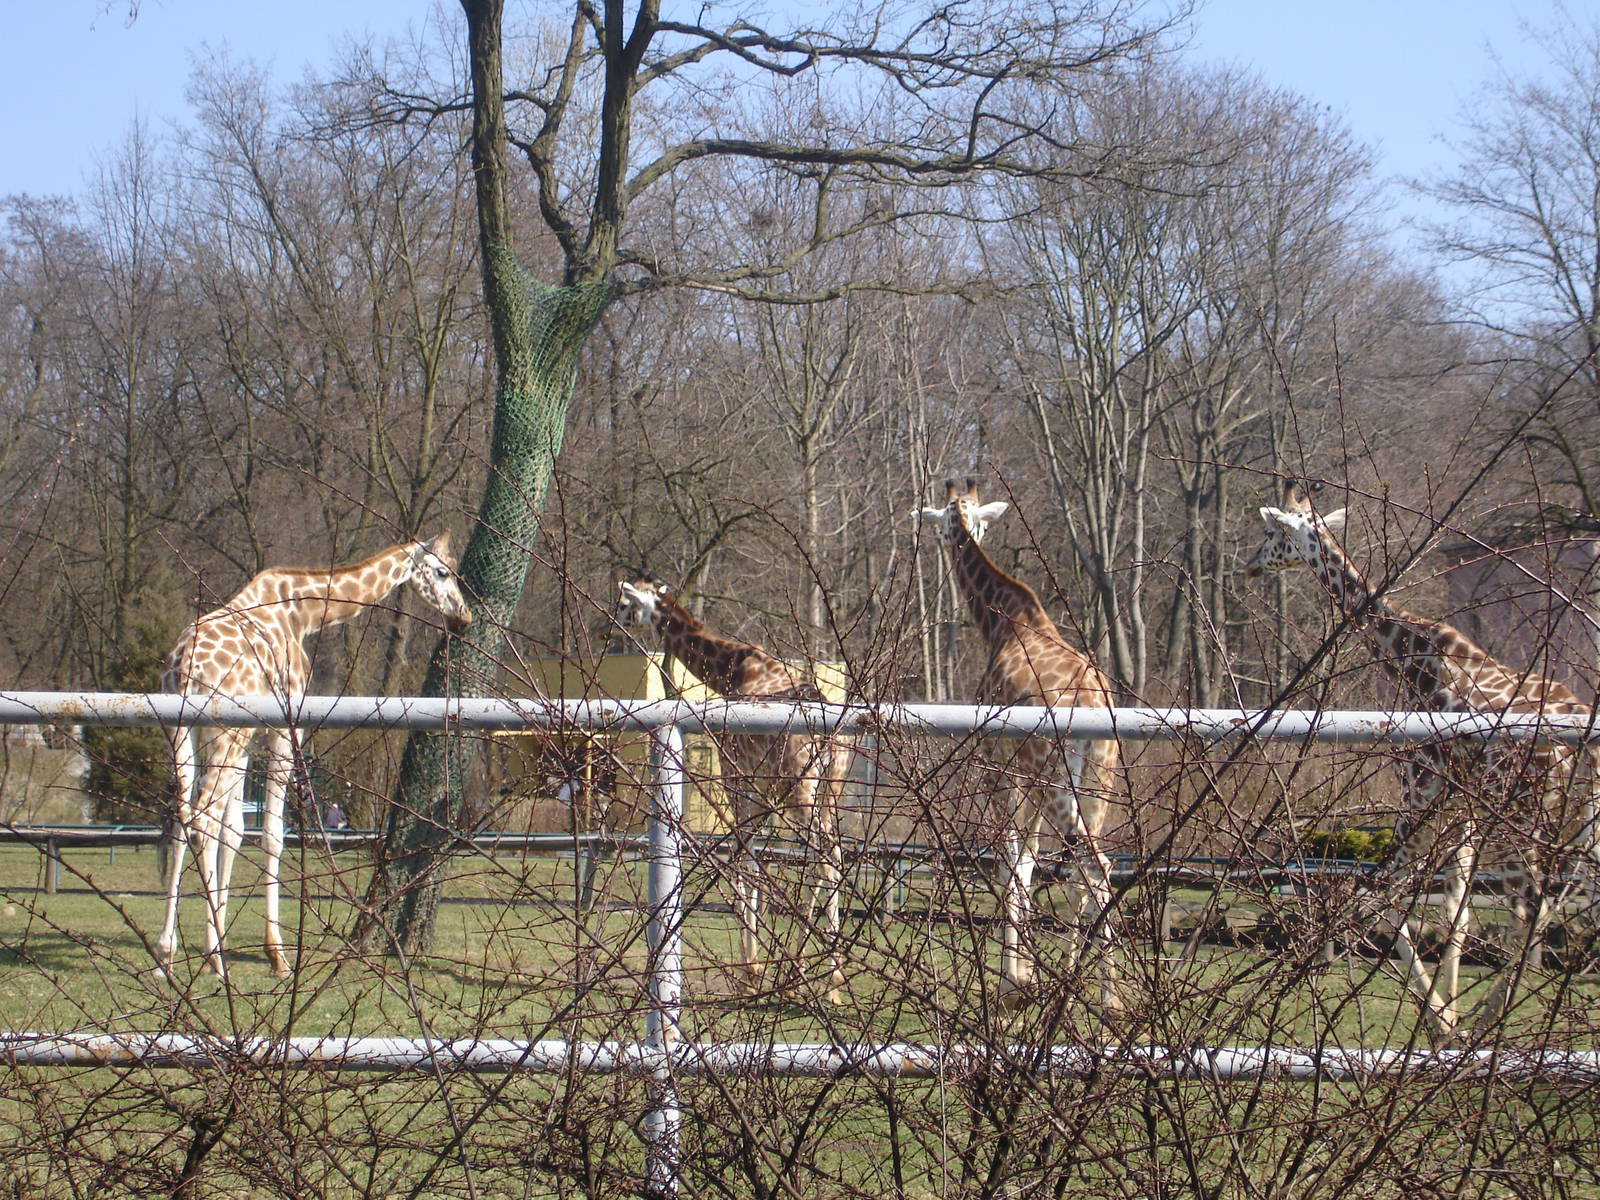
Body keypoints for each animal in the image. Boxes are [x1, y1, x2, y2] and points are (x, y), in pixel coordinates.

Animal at [158, 532, 473, 978]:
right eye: (443, 571)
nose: (463, 616)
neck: (302, 614)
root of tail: (184, 670)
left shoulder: (249, 738)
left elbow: (233, 831)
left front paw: (219, 937)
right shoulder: (284, 728)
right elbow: (271, 834)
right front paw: (276, 955)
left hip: (183, 731)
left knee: (183, 816)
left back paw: (167, 955)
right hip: (222, 733)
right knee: (201, 818)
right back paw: (212, 958)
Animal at [614, 578, 848, 1003]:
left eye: (626, 602)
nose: (613, 624)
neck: (731, 670)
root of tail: (829, 737)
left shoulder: (735, 776)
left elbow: (743, 861)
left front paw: (750, 971)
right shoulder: (763, 788)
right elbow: (756, 863)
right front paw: (760, 968)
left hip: (801, 790)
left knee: (825, 859)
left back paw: (828, 979)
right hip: (831, 789)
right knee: (833, 855)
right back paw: (811, 973)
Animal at [917, 479, 1123, 1011]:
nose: (949, 542)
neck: (1004, 621)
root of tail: (1094, 700)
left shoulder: (997, 764)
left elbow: (1010, 859)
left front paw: (1013, 982)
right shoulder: (1027, 774)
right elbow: (1029, 861)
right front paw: (1026, 974)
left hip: (1060, 784)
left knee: (1093, 866)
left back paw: (1103, 999)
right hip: (1100, 783)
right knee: (1091, 867)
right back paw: (1087, 989)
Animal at [1245, 480, 1600, 1037]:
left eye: (1269, 533)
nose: (1249, 566)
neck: (1416, 659)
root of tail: (1580, 745)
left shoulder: (1421, 791)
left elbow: (1385, 897)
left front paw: (1442, 1019)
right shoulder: (1459, 805)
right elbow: (1455, 906)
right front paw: (1446, 1010)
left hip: (1527, 817)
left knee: (1532, 910)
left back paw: (1486, 1023)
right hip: (1578, 822)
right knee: (1560, 905)